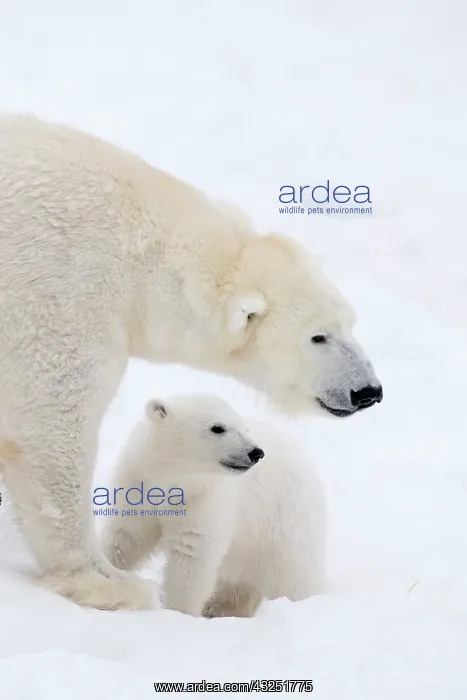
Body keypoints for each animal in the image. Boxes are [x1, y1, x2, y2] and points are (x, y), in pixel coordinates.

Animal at [101, 394, 326, 618]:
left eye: (245, 429)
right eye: (217, 428)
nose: (256, 452)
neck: (173, 481)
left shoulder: (205, 501)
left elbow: (191, 556)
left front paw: (178, 613)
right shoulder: (137, 486)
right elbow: (126, 538)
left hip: (283, 521)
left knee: (291, 575)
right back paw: (220, 607)